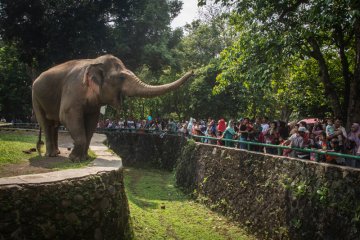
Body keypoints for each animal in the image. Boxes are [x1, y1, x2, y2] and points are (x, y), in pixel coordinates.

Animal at [32, 54, 193, 161]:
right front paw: (75, 159)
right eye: (121, 78)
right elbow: (66, 115)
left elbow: (92, 122)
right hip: (35, 97)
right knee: (46, 124)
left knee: (54, 124)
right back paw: (51, 154)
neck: (93, 62)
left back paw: (57, 153)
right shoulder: (72, 91)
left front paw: (84, 158)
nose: (193, 71)